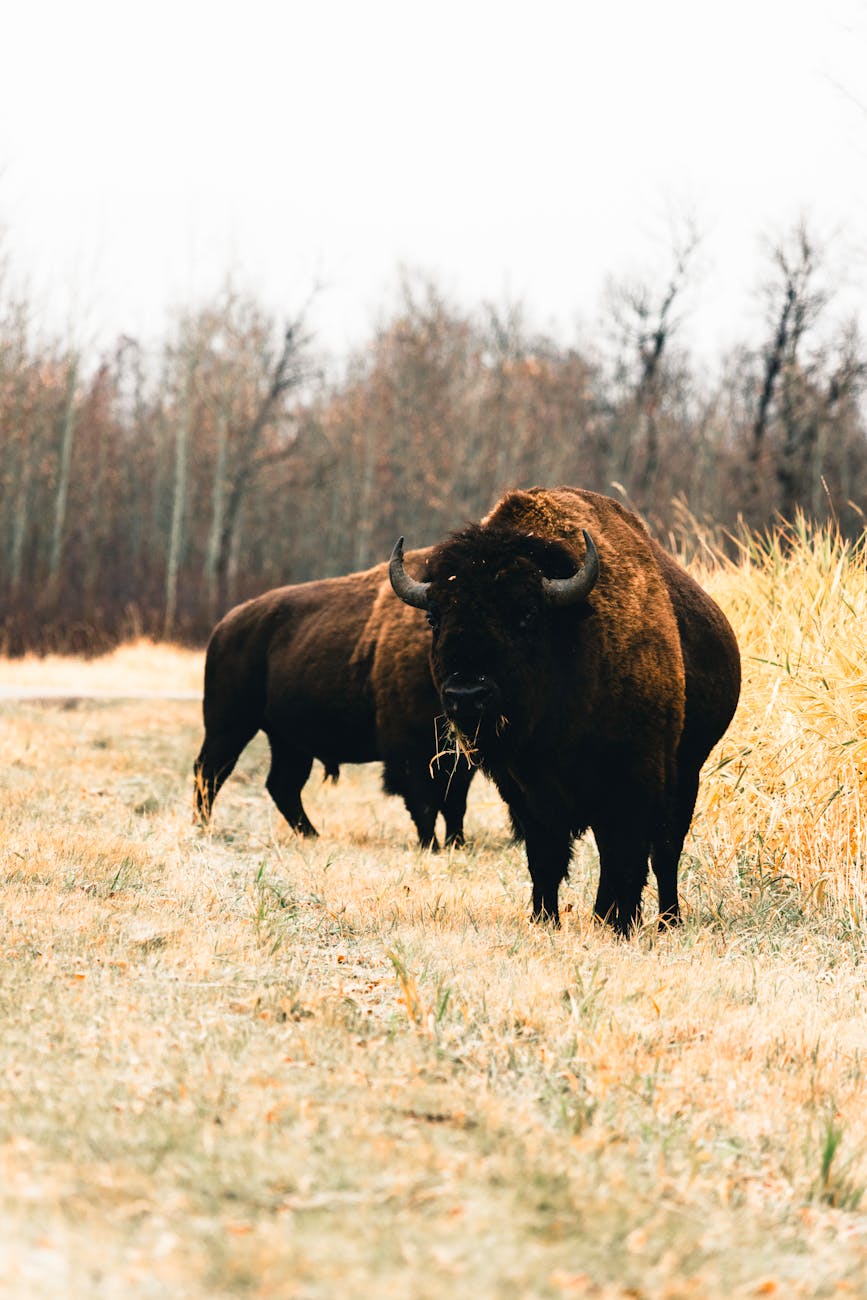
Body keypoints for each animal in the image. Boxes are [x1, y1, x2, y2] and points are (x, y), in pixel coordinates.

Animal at [194, 548, 475, 852]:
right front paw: (431, 847)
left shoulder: (460, 756)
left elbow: (455, 803)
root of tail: (225, 626)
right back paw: (202, 828)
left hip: (288, 741)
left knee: (282, 785)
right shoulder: (410, 751)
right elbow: (425, 804)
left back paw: (312, 835)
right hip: (229, 728)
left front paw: (457, 844)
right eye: (435, 621)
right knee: (210, 773)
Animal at [392, 488, 738, 935]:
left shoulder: (634, 778)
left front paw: (620, 924)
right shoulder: (525, 792)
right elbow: (546, 859)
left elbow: (626, 857)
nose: (466, 694)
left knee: (665, 852)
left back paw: (666, 921)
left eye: (525, 614)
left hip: (688, 770)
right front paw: (545, 920)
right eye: (435, 617)